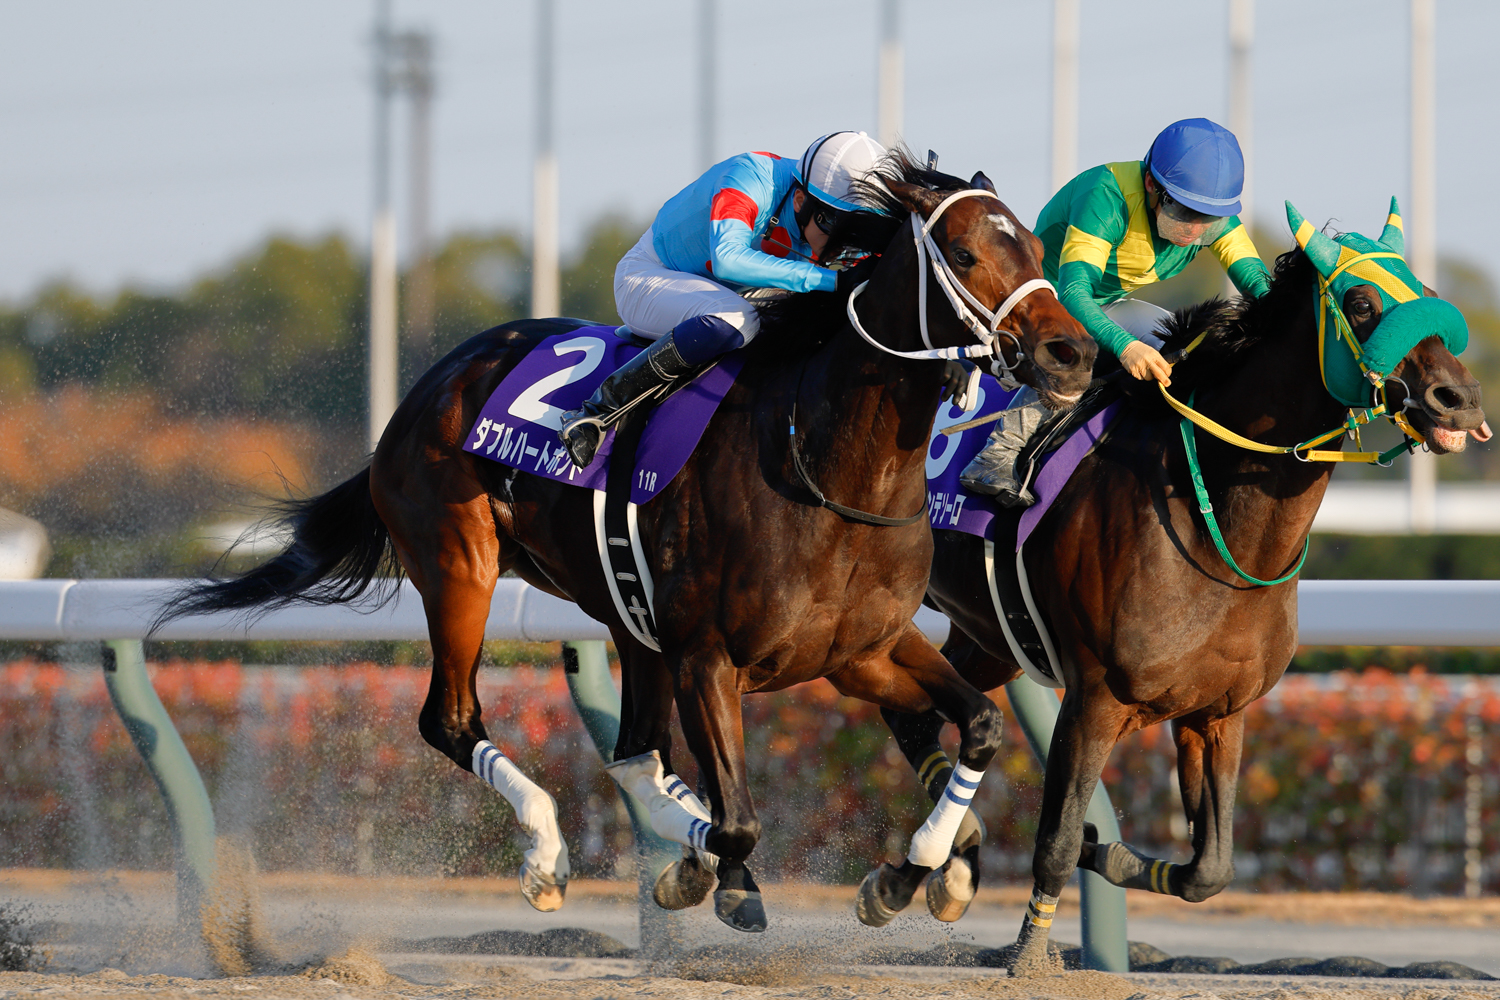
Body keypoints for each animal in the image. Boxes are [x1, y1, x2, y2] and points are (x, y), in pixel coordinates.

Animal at [156, 150, 1098, 933]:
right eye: (968, 255)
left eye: (1036, 251)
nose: (1071, 353)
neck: (828, 465)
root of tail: (429, 387)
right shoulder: (711, 655)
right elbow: (739, 818)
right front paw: (713, 875)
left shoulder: (860, 650)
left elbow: (980, 725)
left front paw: (918, 875)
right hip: (461, 566)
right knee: (453, 719)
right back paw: (548, 854)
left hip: (627, 614)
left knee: (633, 749)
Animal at [881, 212, 1487, 974]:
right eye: (1361, 304)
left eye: (1429, 294)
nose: (1460, 399)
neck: (1215, 530)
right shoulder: (1094, 699)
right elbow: (1054, 843)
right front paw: (1029, 954)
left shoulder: (1217, 711)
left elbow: (1210, 869)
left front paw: (1103, 849)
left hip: (988, 636)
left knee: (914, 714)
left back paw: (931, 870)